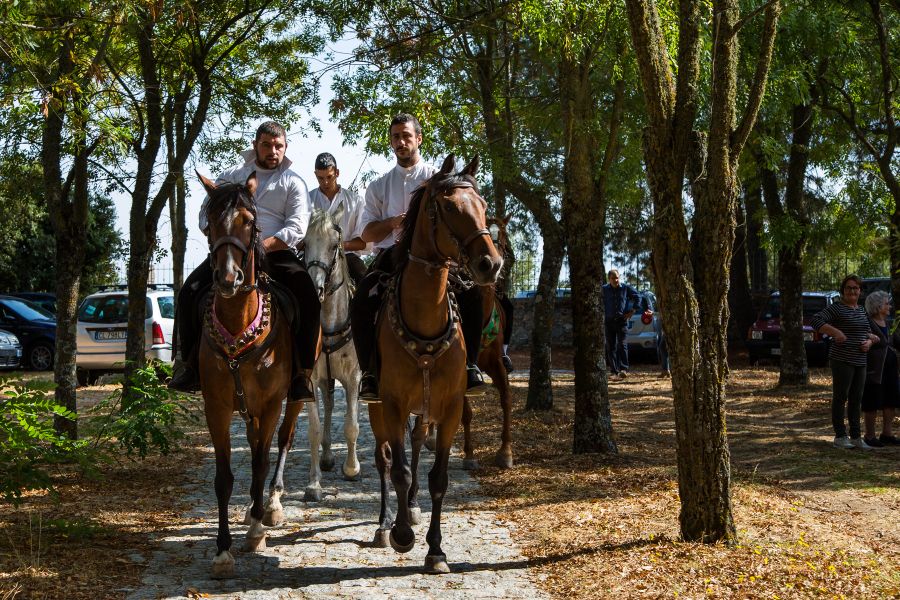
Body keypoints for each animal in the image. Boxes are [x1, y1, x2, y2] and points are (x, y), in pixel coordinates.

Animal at [196, 171, 302, 580]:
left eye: (249, 221)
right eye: (209, 222)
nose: (228, 278)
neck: (239, 324)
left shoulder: (271, 404)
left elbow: (260, 463)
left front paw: (256, 531)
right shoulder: (217, 408)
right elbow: (224, 479)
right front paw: (222, 551)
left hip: (295, 397)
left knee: (282, 442)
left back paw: (268, 507)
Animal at [368, 154, 506, 572]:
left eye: (483, 206)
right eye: (448, 207)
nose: (490, 264)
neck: (425, 320)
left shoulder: (449, 409)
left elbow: (438, 478)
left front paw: (436, 549)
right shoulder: (393, 404)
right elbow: (398, 469)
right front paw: (401, 535)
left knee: (415, 446)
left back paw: (411, 507)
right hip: (378, 407)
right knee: (384, 459)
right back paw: (384, 524)